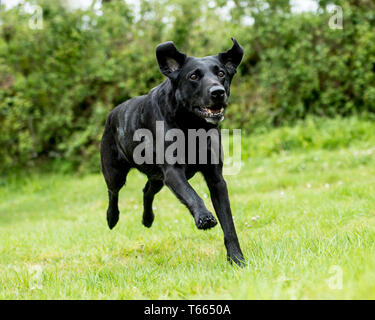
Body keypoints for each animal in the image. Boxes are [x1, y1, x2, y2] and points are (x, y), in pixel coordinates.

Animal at [101, 38, 245, 264]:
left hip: (157, 177)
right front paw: (204, 217)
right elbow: (192, 194)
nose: (218, 92)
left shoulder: (216, 179)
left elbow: (228, 223)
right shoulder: (173, 172)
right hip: (115, 173)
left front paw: (237, 259)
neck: (192, 126)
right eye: (193, 76)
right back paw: (112, 218)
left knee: (147, 190)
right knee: (113, 193)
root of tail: (112, 114)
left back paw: (147, 219)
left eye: (221, 73)